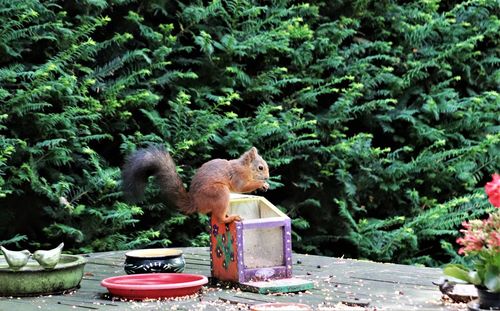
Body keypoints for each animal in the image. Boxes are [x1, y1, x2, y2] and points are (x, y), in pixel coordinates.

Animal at [121, 147, 270, 223]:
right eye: (261, 167)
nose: (267, 177)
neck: (245, 168)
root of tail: (196, 203)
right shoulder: (238, 177)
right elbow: (241, 188)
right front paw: (261, 183)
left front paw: (265, 185)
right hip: (219, 192)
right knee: (219, 218)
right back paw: (230, 218)